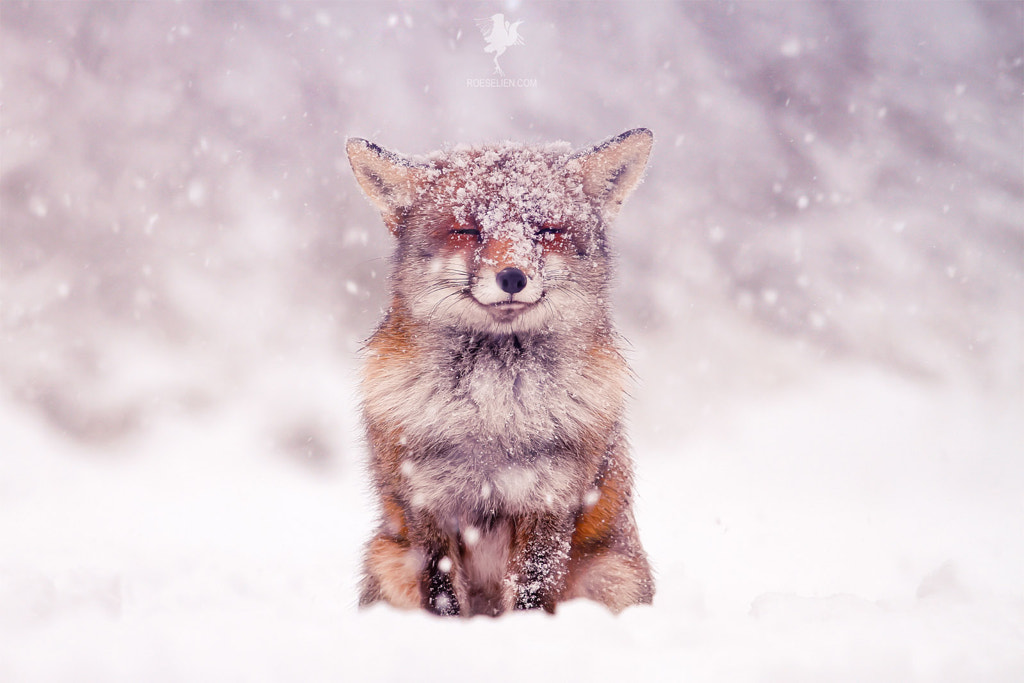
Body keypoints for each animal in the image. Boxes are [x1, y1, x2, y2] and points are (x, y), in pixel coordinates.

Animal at [345, 128, 655, 616]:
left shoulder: (550, 499)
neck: (492, 413)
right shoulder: (427, 503)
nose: (512, 277)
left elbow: (533, 591)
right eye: (467, 230)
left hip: (612, 575)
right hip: (386, 559)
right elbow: (443, 594)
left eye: (546, 231)